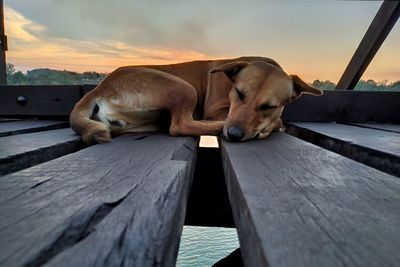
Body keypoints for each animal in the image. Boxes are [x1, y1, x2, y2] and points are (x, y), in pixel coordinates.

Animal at [70, 56, 322, 144]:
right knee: (180, 125)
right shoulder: (218, 110)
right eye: (239, 93)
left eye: (268, 106)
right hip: (183, 87)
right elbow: (277, 121)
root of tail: (101, 86)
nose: (234, 133)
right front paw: (272, 126)